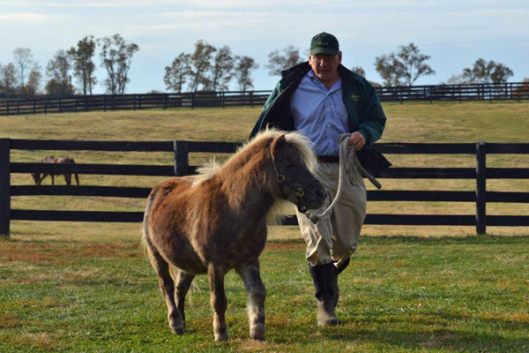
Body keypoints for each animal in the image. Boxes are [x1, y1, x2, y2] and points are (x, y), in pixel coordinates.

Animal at [142, 130, 328, 340]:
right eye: (289, 164)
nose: (320, 193)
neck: (232, 207)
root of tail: (158, 189)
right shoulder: (215, 266)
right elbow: (218, 300)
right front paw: (221, 333)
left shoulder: (249, 262)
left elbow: (258, 292)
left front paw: (257, 329)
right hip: (157, 255)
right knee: (166, 285)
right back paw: (175, 323)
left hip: (188, 262)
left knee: (180, 287)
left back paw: (182, 322)